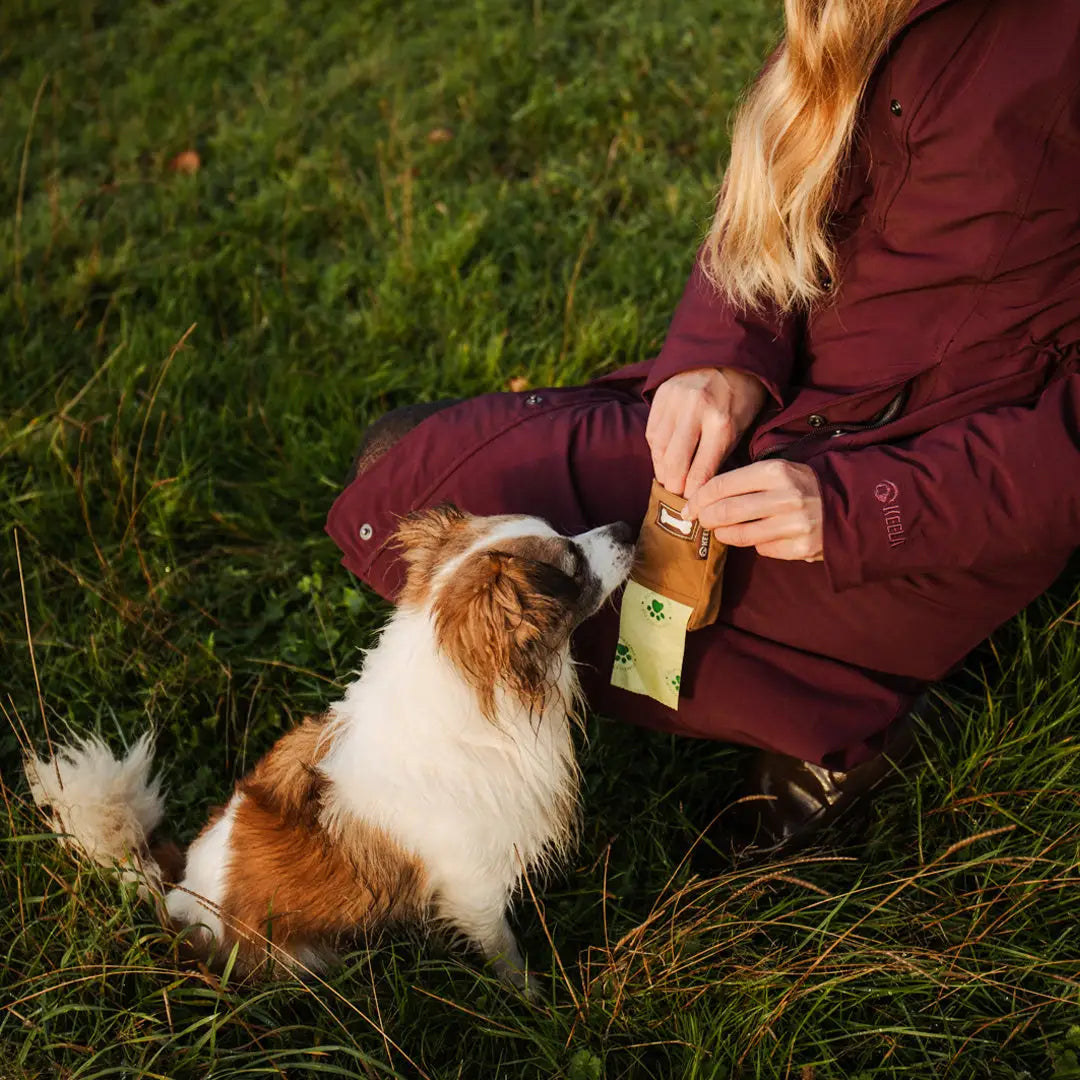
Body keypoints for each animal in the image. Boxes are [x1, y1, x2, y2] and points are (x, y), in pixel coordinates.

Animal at [25, 509, 630, 989]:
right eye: (573, 565)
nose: (625, 527)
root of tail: (177, 894)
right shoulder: (472, 889)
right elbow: (506, 955)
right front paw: (535, 1004)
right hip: (301, 957)